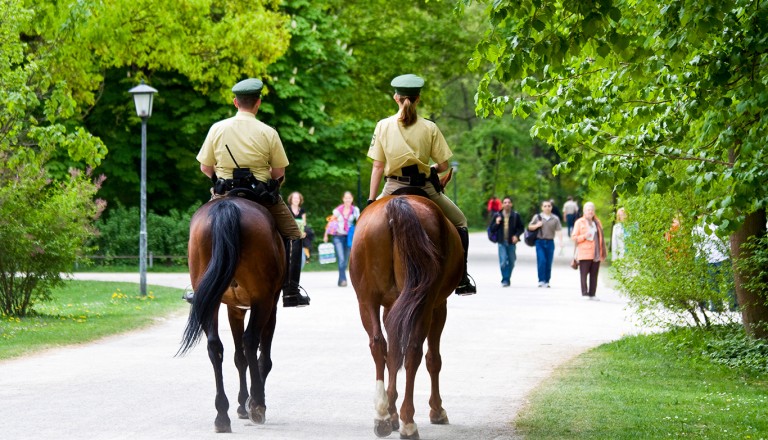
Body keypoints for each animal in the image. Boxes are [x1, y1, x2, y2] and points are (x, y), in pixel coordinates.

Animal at [177, 197, 284, 434]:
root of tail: (227, 206)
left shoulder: (234, 309)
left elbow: (239, 357)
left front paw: (242, 404)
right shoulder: (270, 306)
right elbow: (262, 358)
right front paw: (250, 403)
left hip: (211, 300)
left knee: (215, 346)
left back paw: (222, 415)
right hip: (263, 300)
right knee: (251, 341)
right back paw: (257, 405)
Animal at [348, 196, 462, 440]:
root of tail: (397, 203)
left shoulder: (391, 308)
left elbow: (392, 355)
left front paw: (391, 413)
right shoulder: (439, 307)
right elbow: (432, 359)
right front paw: (436, 410)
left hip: (366, 300)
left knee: (378, 345)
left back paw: (381, 415)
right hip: (424, 304)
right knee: (413, 352)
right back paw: (409, 422)